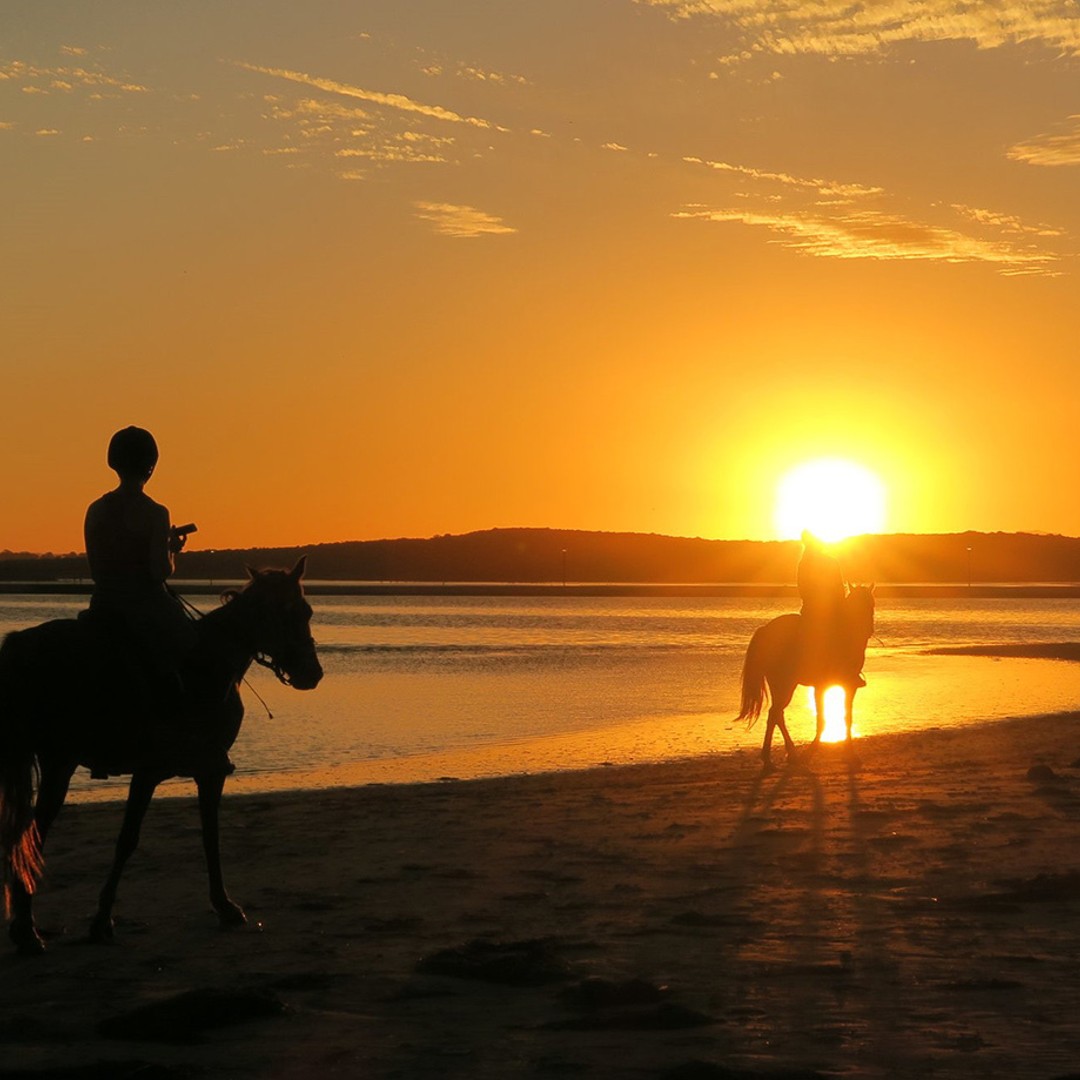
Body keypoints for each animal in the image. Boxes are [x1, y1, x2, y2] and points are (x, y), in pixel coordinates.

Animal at [0, 556, 322, 955]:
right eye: (292, 612)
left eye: (307, 611)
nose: (312, 672)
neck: (209, 663)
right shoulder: (174, 770)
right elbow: (138, 839)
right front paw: (103, 919)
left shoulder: (193, 771)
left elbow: (205, 834)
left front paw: (221, 904)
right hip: (59, 763)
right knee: (31, 834)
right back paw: (27, 930)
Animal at [736, 585, 875, 768]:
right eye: (860, 606)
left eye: (872, 604)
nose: (868, 631)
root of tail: (766, 630)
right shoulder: (826, 687)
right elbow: (823, 720)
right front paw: (809, 754)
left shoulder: (844, 687)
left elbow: (846, 718)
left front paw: (849, 754)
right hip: (784, 684)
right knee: (775, 713)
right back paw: (777, 756)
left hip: (782, 684)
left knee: (777, 714)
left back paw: (784, 754)